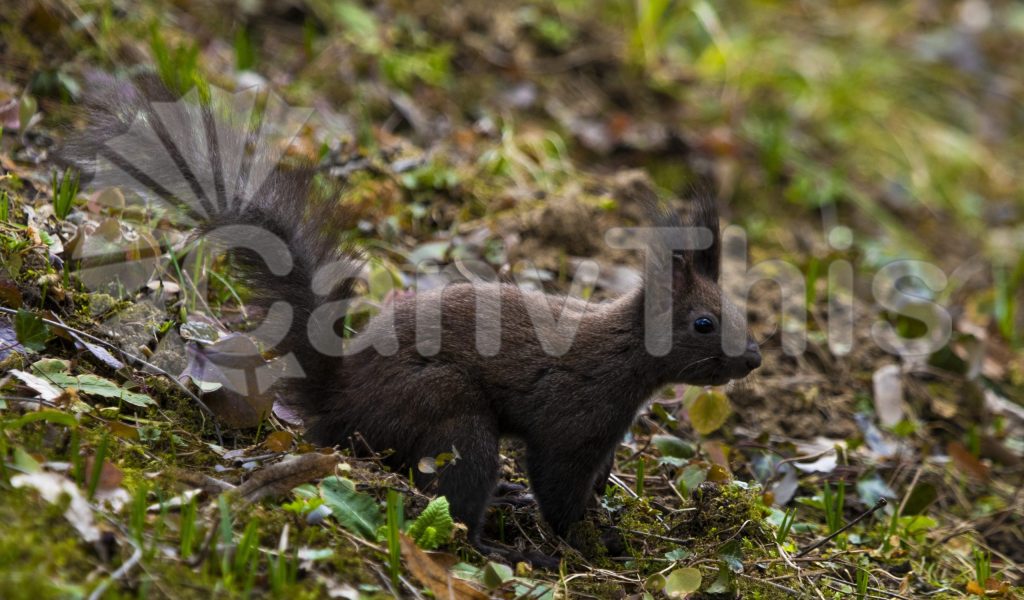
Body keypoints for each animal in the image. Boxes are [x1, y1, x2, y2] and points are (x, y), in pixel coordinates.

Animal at [60, 74, 762, 567]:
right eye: (704, 323)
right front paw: (585, 544)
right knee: (454, 498)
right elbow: (559, 487)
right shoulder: (571, 418)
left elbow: (592, 483)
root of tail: (338, 399)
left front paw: (604, 520)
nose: (753, 358)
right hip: (449, 411)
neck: (624, 357)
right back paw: (498, 544)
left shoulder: (605, 435)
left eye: (739, 312)